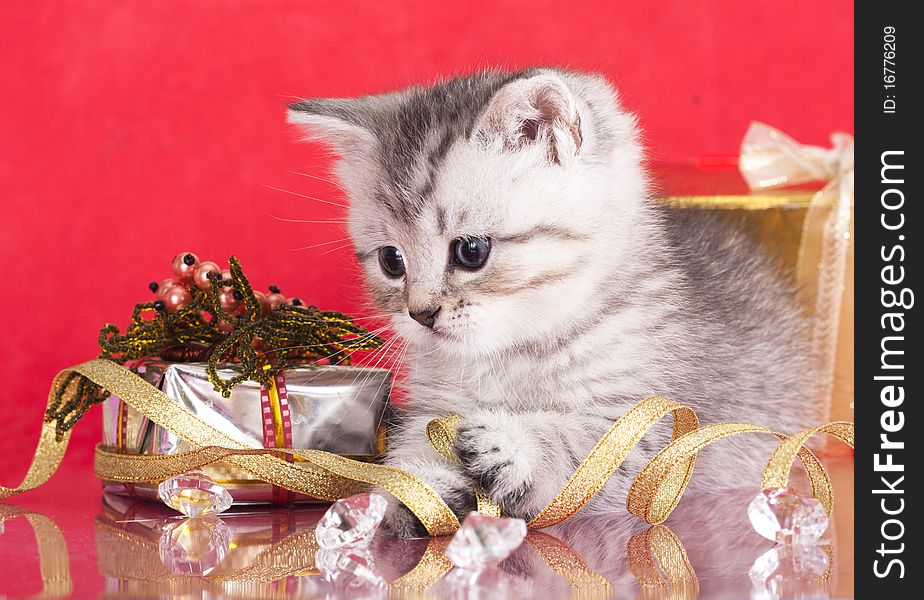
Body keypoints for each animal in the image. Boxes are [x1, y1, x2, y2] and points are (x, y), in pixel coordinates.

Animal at [286, 68, 816, 536]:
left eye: (471, 250)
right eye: (391, 261)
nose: (422, 313)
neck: (511, 352)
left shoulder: (658, 432)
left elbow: (589, 449)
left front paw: (515, 445)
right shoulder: (429, 409)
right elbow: (413, 454)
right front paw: (414, 493)